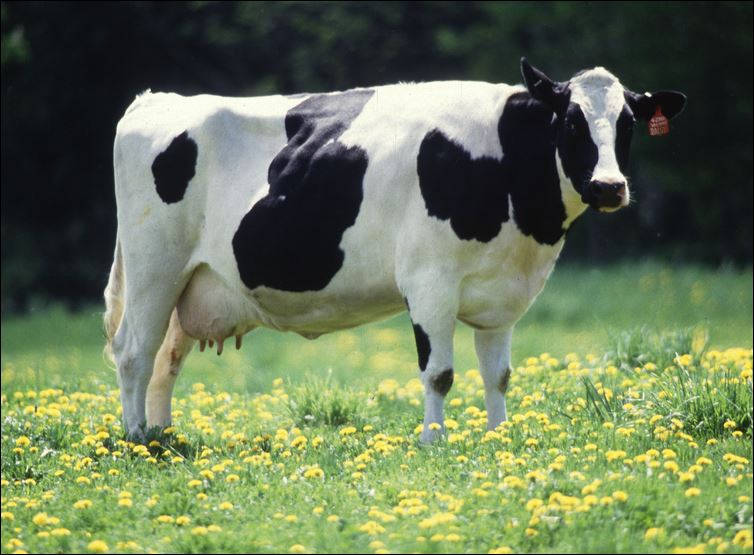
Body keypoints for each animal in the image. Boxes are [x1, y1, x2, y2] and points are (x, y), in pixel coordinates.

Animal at [104, 58, 685, 442]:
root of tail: (156, 99)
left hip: (191, 282)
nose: (609, 186)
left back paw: (164, 435)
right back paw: (137, 440)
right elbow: (440, 373)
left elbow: (498, 374)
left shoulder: (502, 295)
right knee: (134, 351)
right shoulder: (429, 281)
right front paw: (433, 441)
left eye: (628, 123)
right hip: (154, 267)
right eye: (570, 121)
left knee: (166, 359)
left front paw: (499, 438)